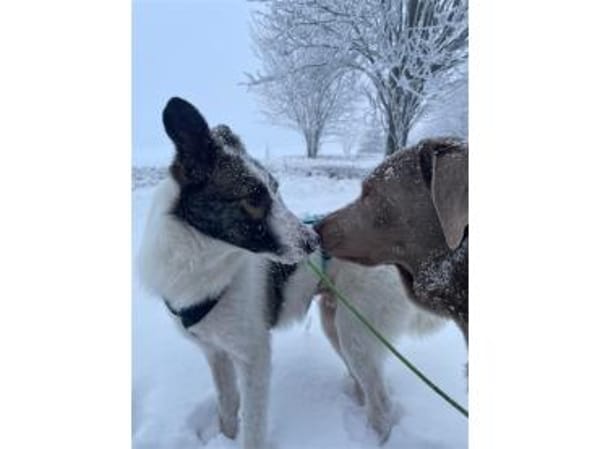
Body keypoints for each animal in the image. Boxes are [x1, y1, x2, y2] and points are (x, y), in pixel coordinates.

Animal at [138, 97, 442, 448]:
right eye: (254, 197)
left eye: (276, 189)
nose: (315, 240)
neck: (203, 262)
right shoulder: (216, 353)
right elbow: (227, 410)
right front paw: (225, 437)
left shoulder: (254, 357)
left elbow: (253, 429)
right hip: (337, 326)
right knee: (365, 388)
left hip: (355, 335)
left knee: (381, 404)